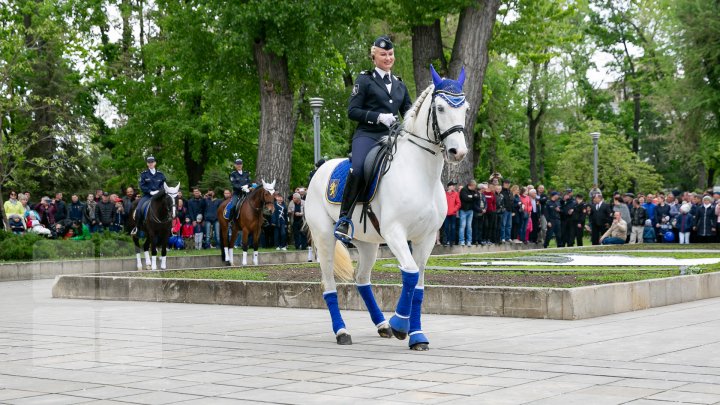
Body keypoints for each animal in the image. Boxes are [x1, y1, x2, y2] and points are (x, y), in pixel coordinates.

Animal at [302, 64, 466, 348]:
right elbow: (410, 273)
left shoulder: (426, 238)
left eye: (464, 107)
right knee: (329, 284)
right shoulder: (394, 232)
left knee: (362, 280)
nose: (459, 151)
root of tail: (320, 167)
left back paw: (381, 325)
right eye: (441, 108)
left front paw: (416, 335)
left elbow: (419, 285)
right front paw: (401, 324)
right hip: (324, 236)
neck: (420, 172)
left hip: (368, 244)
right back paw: (342, 331)